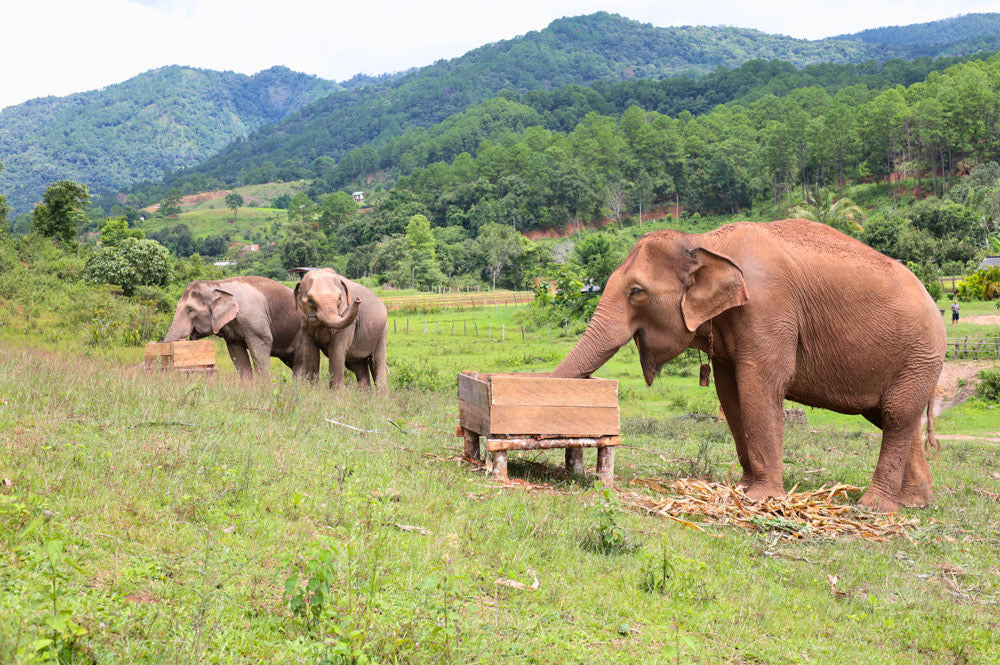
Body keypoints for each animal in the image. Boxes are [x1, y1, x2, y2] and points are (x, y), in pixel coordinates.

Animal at [164, 276, 304, 378]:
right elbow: (238, 356)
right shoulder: (231, 334)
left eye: (190, 310)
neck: (218, 284)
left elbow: (261, 348)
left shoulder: (255, 322)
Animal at [551, 218, 946, 513]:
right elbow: (729, 393)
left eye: (637, 292)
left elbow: (761, 384)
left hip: (920, 355)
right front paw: (742, 489)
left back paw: (873, 507)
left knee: (895, 415)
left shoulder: (768, 308)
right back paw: (915, 501)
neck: (706, 242)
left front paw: (763, 499)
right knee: (893, 417)